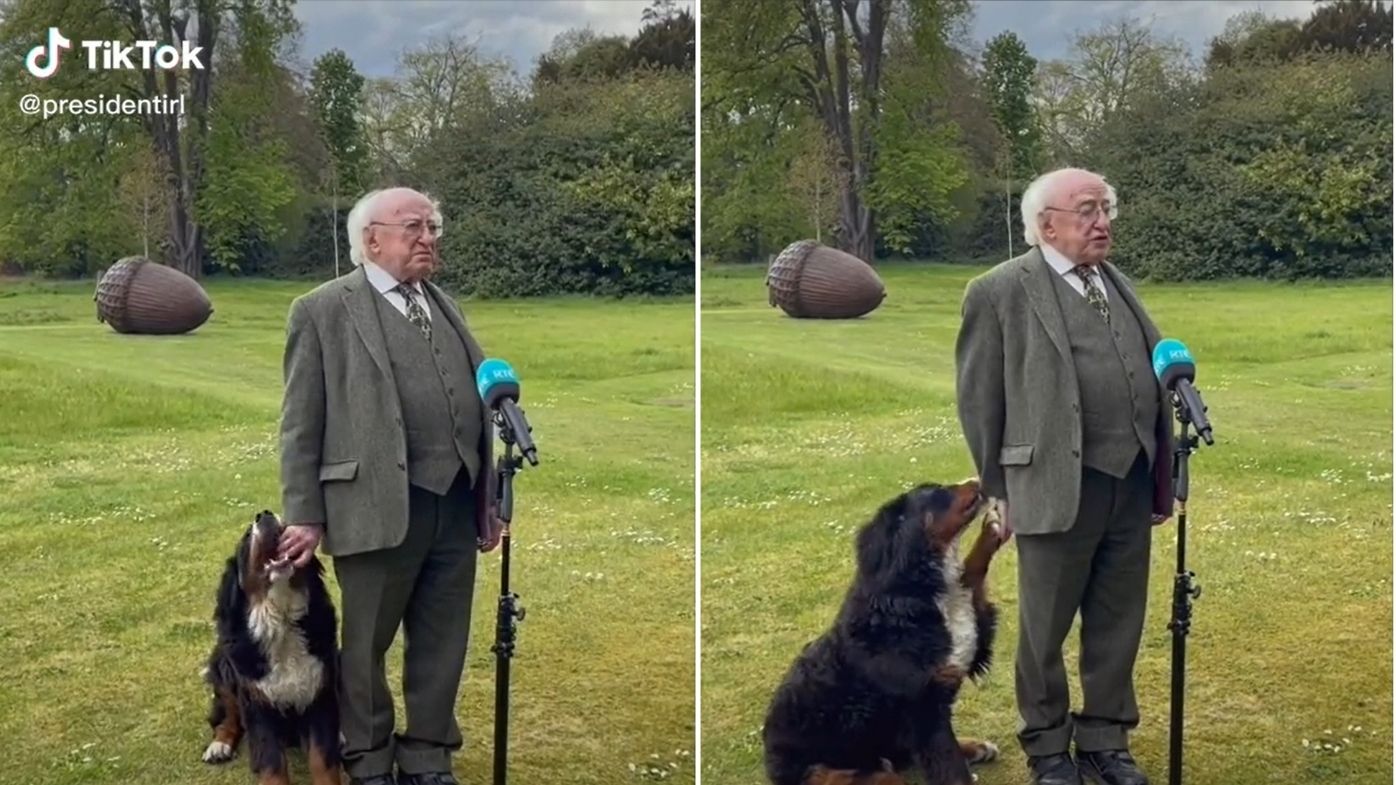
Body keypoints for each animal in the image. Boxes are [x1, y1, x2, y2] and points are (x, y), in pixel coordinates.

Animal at [201, 508, 342, 782]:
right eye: (247, 536)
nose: (265, 514)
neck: (282, 620)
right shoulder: (257, 705)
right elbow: (272, 765)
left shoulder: (318, 694)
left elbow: (322, 759)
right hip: (223, 667)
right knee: (227, 715)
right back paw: (219, 745)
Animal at [765, 477, 1005, 782]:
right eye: (936, 491)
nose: (977, 480)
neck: (909, 597)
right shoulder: (923, 707)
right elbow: (949, 764)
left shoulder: (972, 635)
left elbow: (972, 574)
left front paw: (992, 530)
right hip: (820, 764)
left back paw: (974, 747)